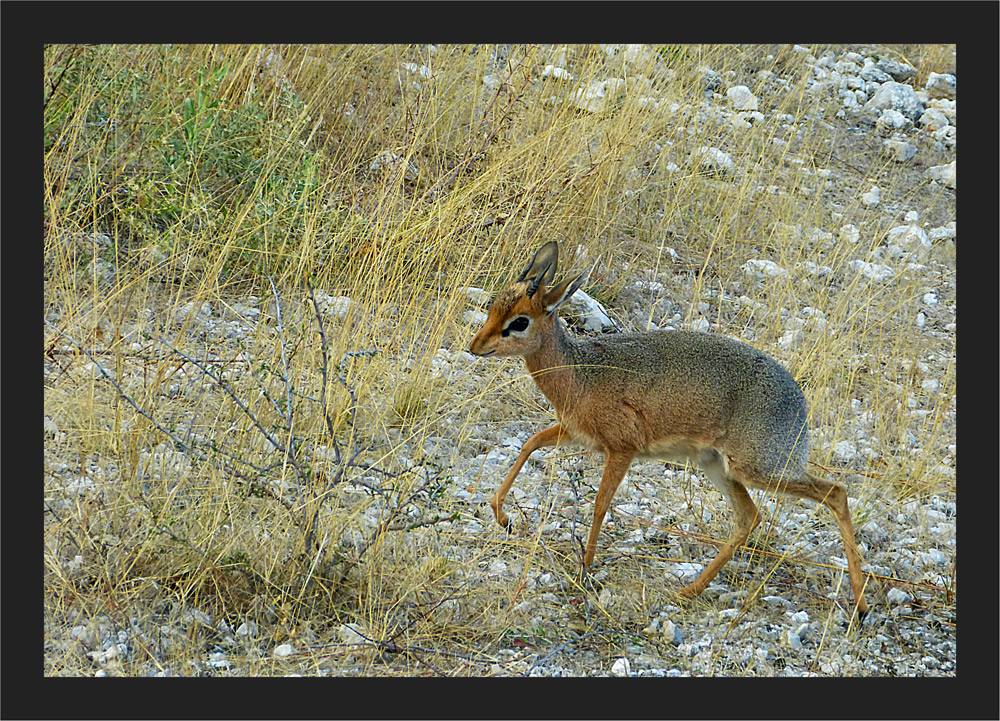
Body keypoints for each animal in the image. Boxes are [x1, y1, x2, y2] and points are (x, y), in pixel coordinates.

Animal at [468, 240, 868, 612]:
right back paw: (689, 590)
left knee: (835, 493)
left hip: (759, 468)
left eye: (519, 322)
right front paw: (502, 515)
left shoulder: (622, 449)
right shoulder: (576, 434)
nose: (475, 345)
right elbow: (530, 442)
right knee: (749, 518)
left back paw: (861, 606)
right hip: (718, 466)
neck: (581, 372)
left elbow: (599, 504)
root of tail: (800, 402)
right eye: (493, 305)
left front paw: (584, 568)